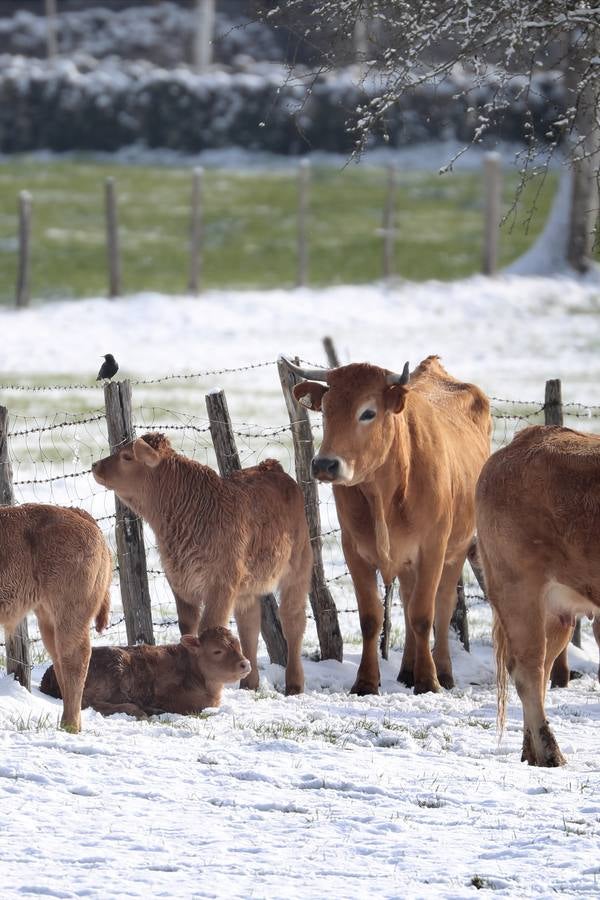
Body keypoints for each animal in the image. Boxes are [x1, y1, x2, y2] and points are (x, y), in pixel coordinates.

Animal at [0, 502, 111, 736]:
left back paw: (69, 726)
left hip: (69, 615)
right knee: (61, 663)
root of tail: (76, 512)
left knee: (75, 660)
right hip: (48, 620)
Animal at [39, 624, 251, 716]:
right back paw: (139, 710)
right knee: (85, 701)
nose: (246, 664)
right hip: (113, 667)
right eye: (217, 651)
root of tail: (50, 673)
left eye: (238, 645)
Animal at [92, 432, 314, 692]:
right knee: (249, 624)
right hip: (246, 587)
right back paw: (248, 683)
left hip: (298, 570)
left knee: (293, 621)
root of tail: (271, 467)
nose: (95, 465)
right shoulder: (180, 583)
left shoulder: (220, 585)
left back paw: (294, 684)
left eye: (127, 456)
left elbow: (210, 626)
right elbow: (188, 629)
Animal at [476, 426, 600, 764]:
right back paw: (550, 753)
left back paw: (531, 752)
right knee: (527, 669)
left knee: (542, 669)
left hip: (555, 611)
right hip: (519, 589)